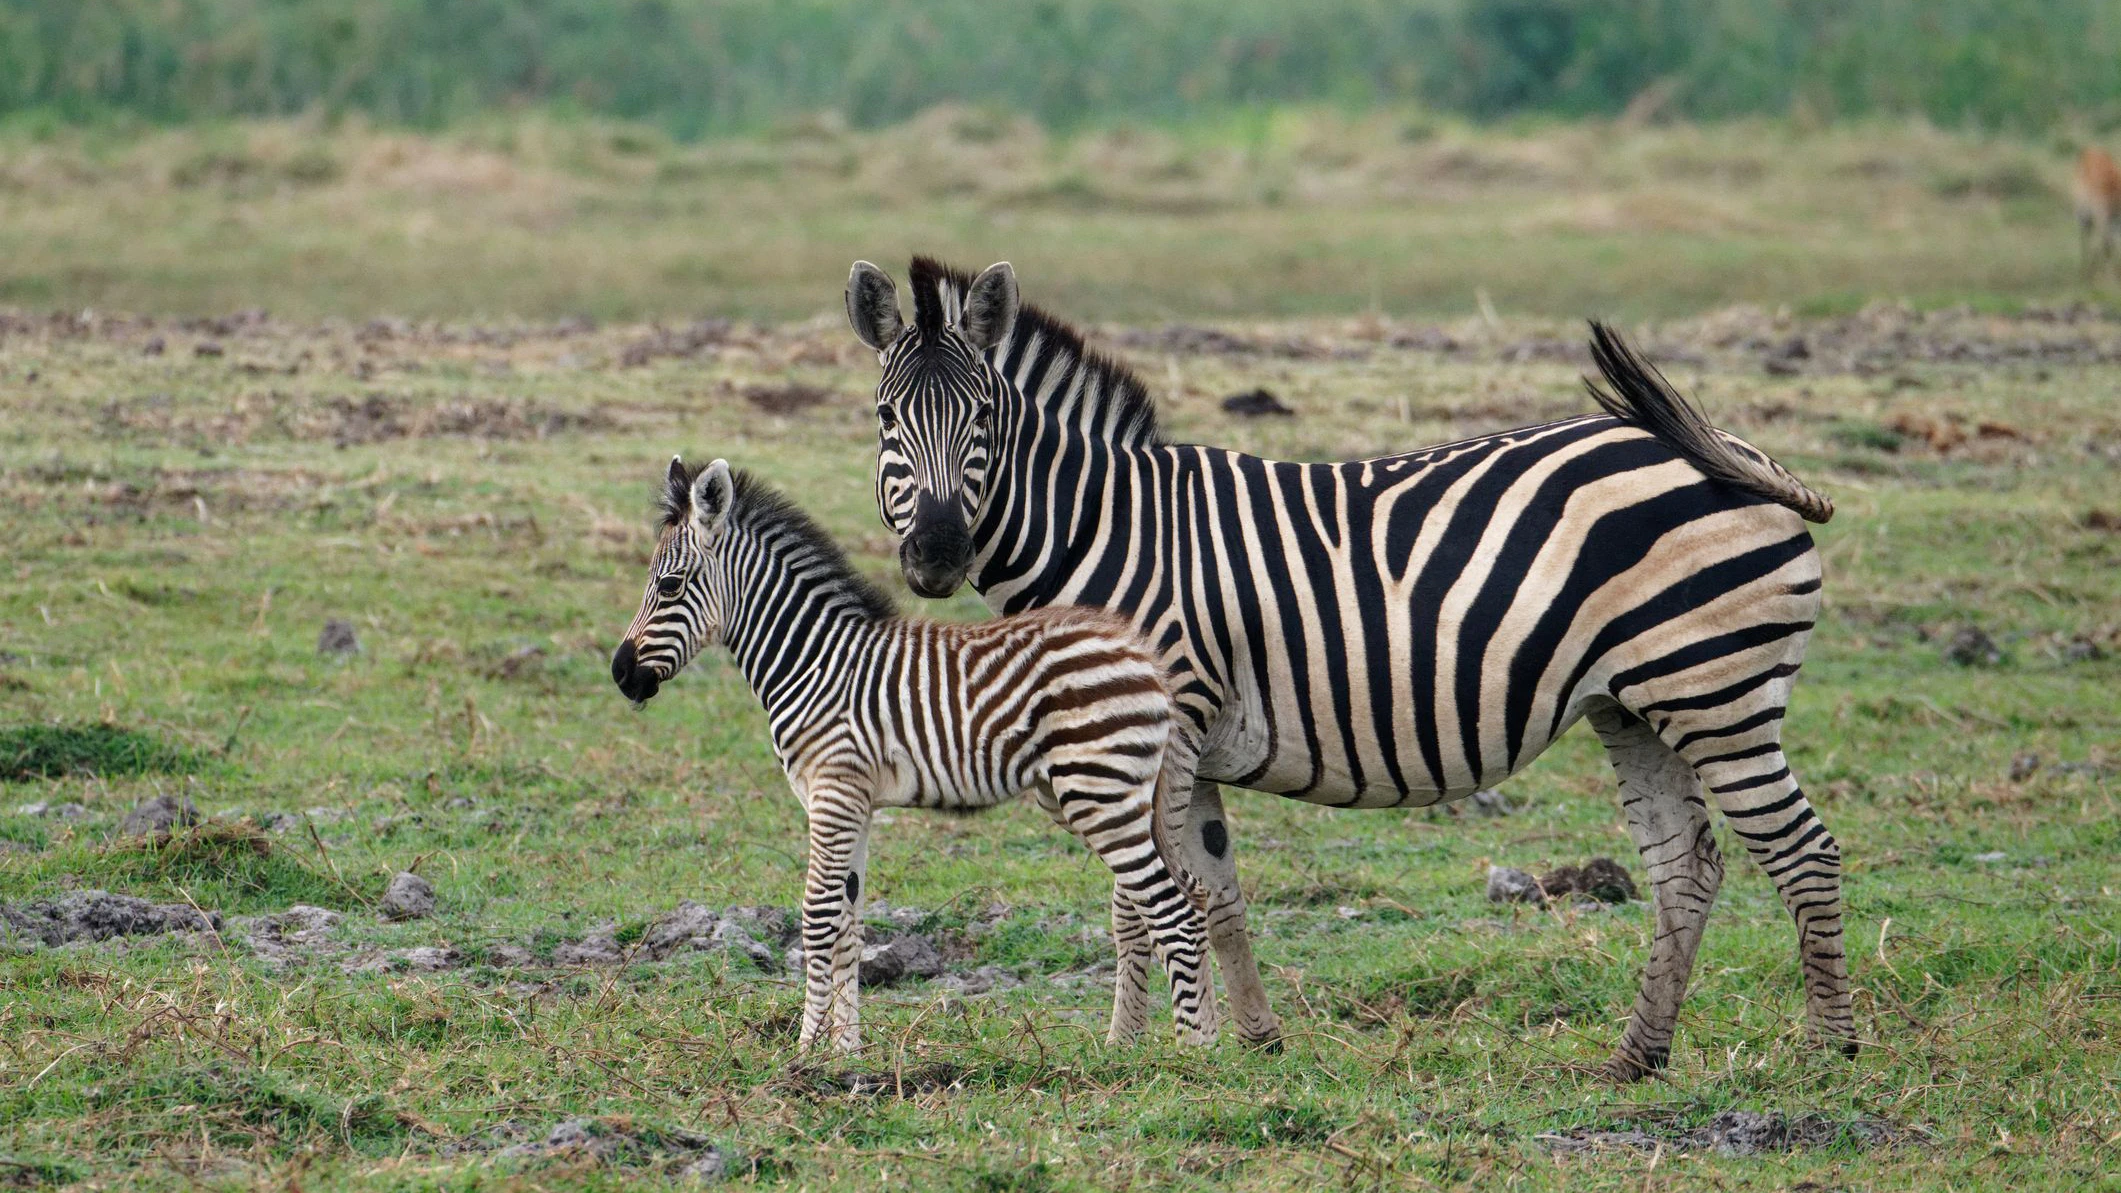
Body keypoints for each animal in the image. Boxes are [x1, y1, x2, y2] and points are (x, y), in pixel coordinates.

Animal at [609, 455, 1218, 1052]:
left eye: (669, 585)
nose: (619, 675)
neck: (814, 659)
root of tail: (1145, 659)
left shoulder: (833, 792)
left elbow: (818, 918)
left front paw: (804, 1051)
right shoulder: (854, 803)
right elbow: (849, 926)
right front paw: (845, 1051)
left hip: (1100, 791)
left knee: (1171, 911)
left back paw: (1191, 1058)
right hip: (1110, 794)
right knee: (1191, 896)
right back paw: (1207, 1045)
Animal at [844, 256, 1856, 1079]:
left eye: (982, 417)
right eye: (886, 418)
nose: (934, 556)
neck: (1106, 531)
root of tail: (1743, 455)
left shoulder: (1157, 726)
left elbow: (1139, 894)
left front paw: (1135, 1048)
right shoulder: (1187, 739)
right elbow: (1214, 889)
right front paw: (1253, 1042)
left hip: (1714, 692)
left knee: (1801, 851)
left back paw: (1827, 1049)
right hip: (1636, 705)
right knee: (1686, 866)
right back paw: (1634, 1057)